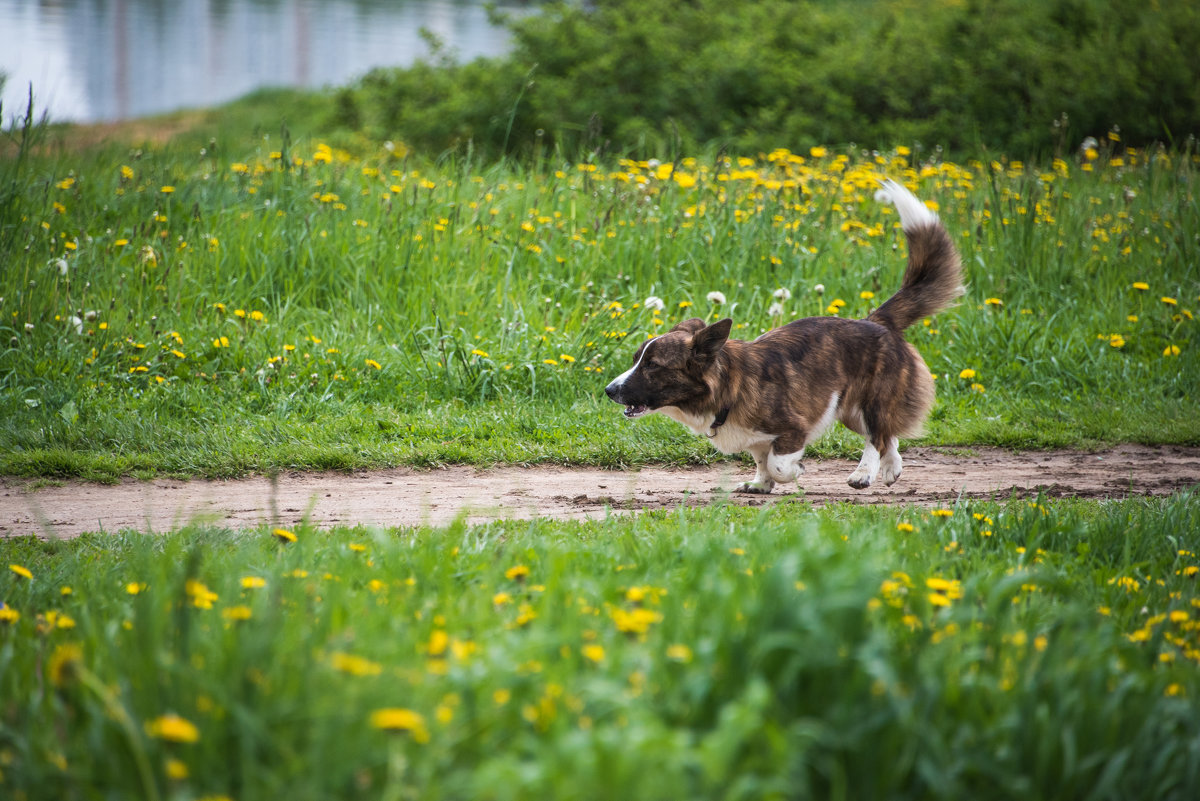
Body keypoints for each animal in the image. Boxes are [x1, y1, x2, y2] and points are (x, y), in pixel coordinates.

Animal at [604, 181, 960, 491]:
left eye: (652, 365)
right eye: (636, 359)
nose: (608, 390)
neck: (728, 386)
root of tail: (877, 321)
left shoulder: (794, 428)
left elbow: (778, 464)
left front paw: (794, 472)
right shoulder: (757, 439)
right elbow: (762, 461)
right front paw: (760, 486)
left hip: (871, 400)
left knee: (877, 435)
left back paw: (864, 473)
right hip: (848, 409)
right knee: (889, 433)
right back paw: (891, 467)